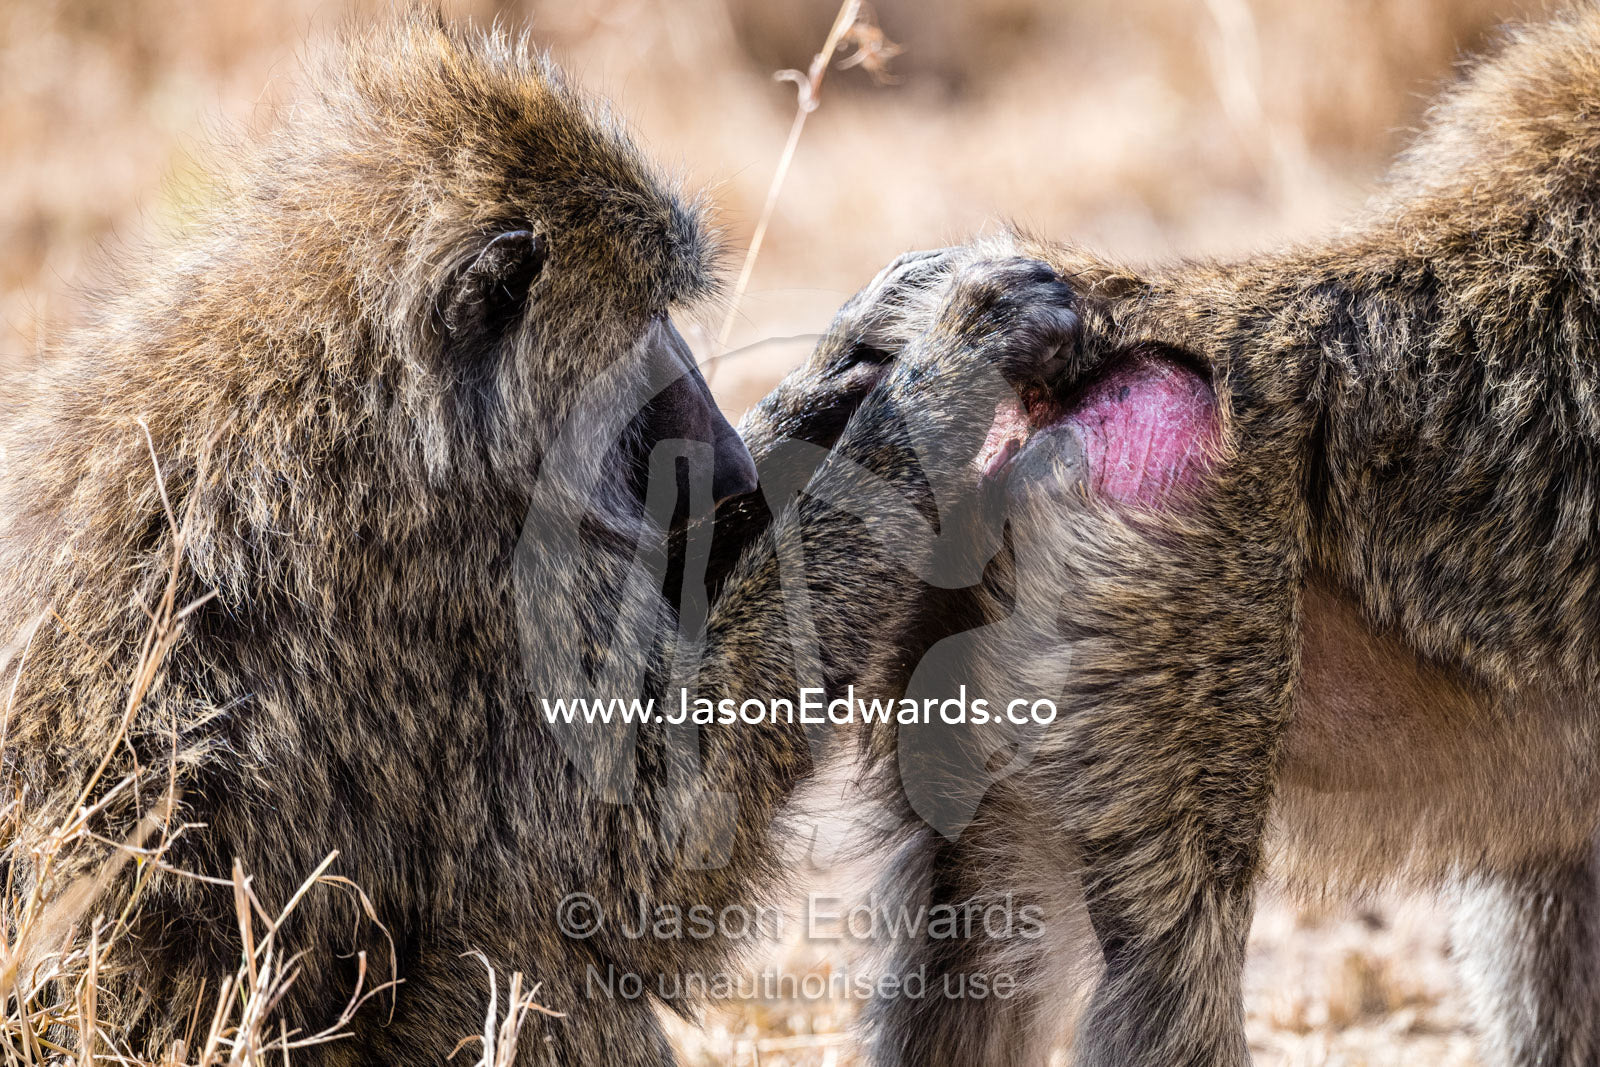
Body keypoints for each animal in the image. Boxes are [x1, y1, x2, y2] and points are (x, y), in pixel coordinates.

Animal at [0, 15, 1077, 1066]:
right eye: (646, 320)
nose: (728, 462)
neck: (381, 388)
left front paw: (860, 357)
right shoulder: (473, 582)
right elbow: (644, 855)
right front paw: (951, 364)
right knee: (532, 946)